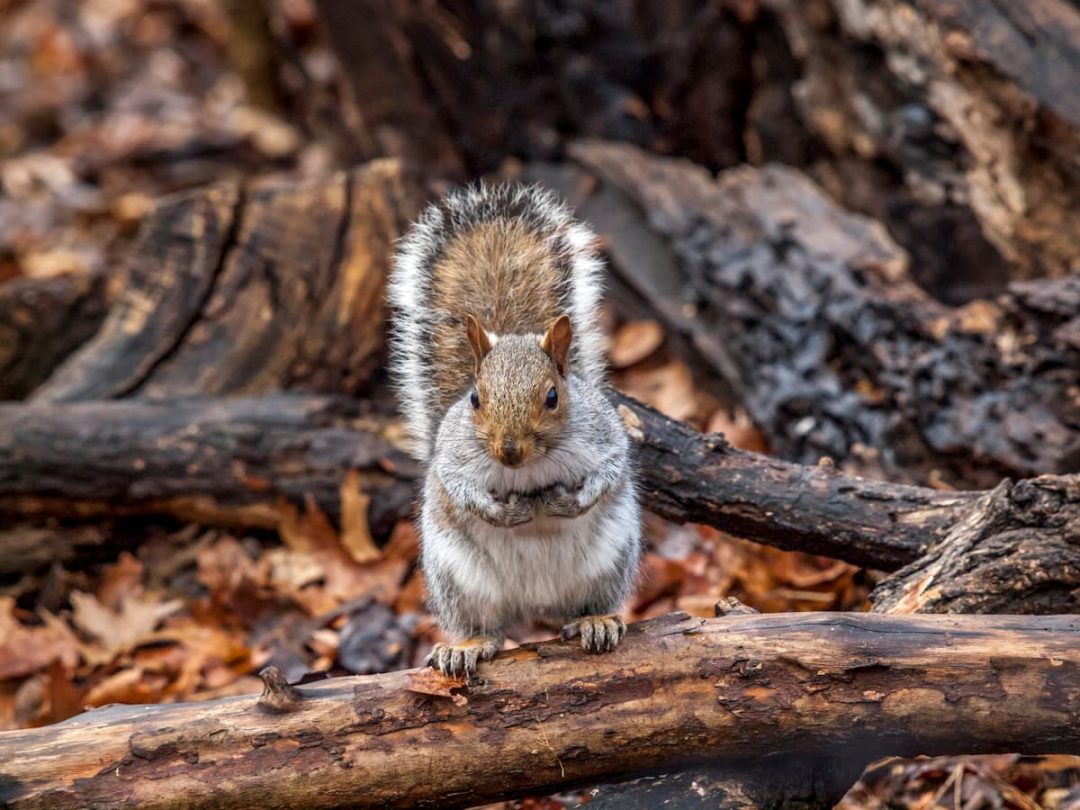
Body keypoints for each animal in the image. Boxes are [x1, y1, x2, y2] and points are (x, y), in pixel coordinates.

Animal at [388, 183, 642, 680]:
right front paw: (504, 514)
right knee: (486, 627)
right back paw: (467, 647)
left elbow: (607, 474)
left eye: (553, 397)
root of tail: (537, 601)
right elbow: (460, 488)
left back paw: (596, 621)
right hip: (460, 580)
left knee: (587, 605)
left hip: (610, 560)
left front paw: (569, 503)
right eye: (474, 398)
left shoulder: (604, 439)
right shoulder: (454, 458)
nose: (508, 452)